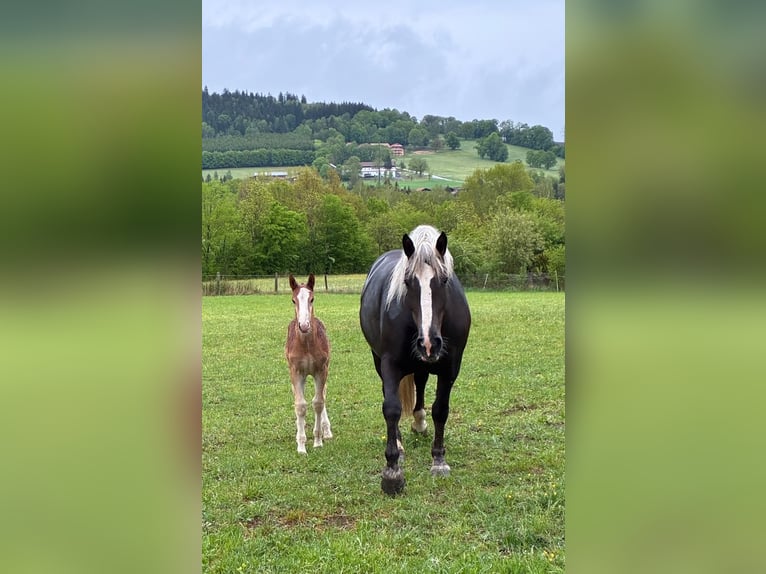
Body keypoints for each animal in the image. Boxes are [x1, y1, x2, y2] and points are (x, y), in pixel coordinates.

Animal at [285, 273, 333, 453]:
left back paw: (327, 431)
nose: (304, 325)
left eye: (312, 299)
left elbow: (318, 402)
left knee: (323, 395)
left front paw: (318, 440)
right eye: (293, 300)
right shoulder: (296, 371)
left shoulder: (321, 370)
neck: (306, 345)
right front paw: (301, 445)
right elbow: (300, 405)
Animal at [360, 225, 471, 494]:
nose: (429, 342)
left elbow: (440, 410)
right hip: (379, 360)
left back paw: (419, 422)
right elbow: (391, 408)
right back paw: (400, 443)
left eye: (444, 280)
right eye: (408, 282)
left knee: (420, 384)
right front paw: (392, 472)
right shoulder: (390, 364)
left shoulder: (450, 368)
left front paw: (439, 460)